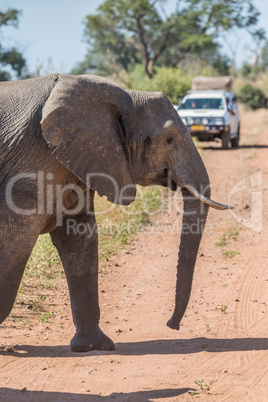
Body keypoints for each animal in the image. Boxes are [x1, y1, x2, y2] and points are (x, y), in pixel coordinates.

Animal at [0, 75, 231, 352]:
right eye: (170, 140)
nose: (171, 325)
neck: (125, 95)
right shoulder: (29, 168)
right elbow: (17, 241)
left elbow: (80, 239)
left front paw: (93, 346)